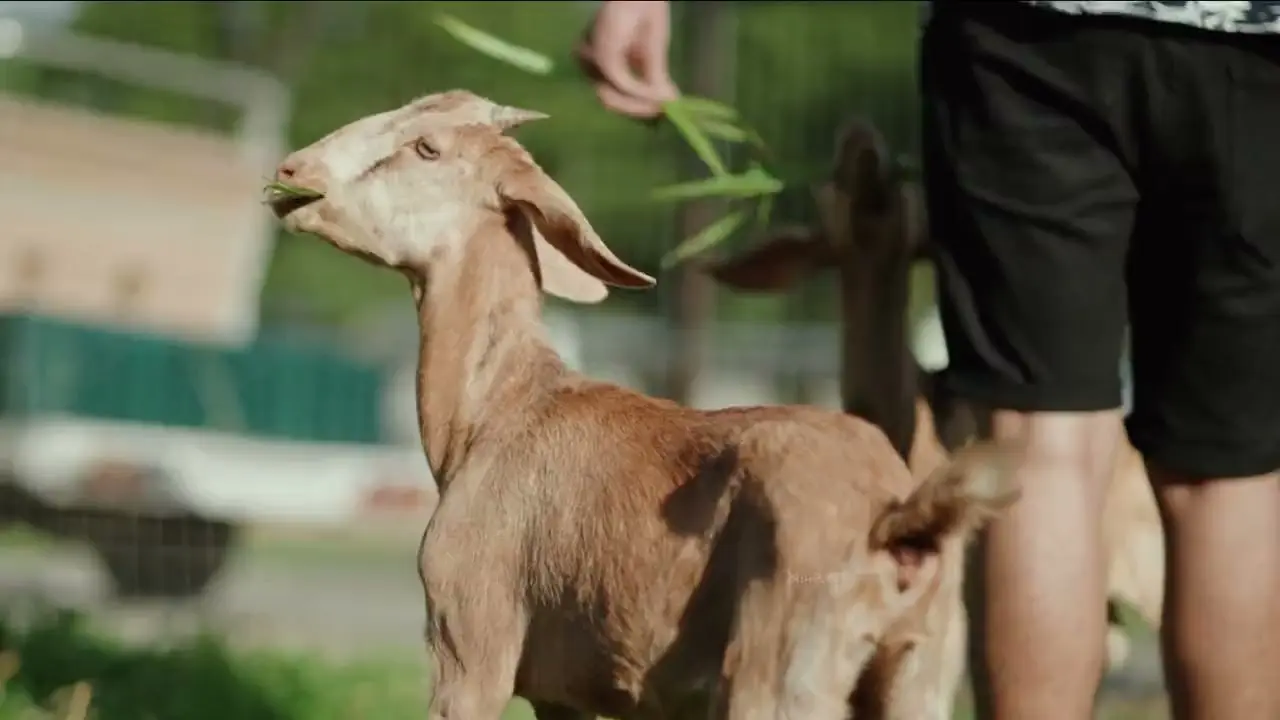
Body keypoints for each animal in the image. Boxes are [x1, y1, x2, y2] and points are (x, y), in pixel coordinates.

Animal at [266, 90, 1022, 720]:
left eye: (427, 147)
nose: (292, 174)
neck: (500, 408)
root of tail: (897, 516)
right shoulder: (563, 694)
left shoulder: (471, 645)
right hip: (919, 672)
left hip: (783, 665)